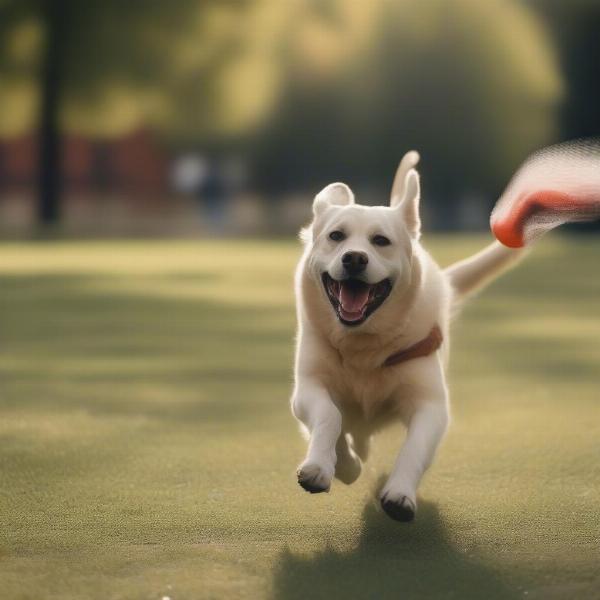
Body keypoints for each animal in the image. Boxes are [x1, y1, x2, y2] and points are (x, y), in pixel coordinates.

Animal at [292, 152, 524, 524]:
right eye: (336, 236)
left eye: (381, 241)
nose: (354, 258)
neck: (363, 344)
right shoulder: (308, 388)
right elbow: (330, 416)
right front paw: (329, 467)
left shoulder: (431, 406)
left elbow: (414, 448)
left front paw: (399, 494)